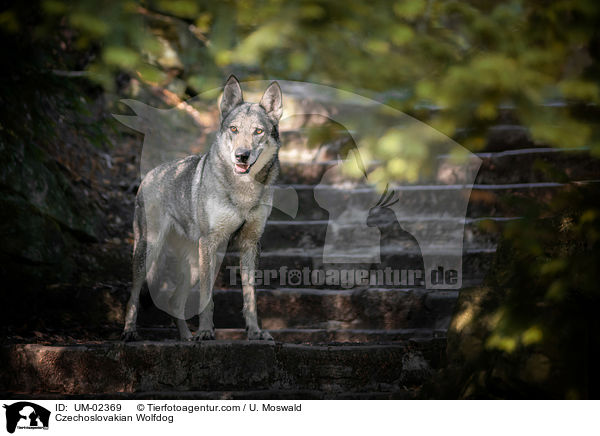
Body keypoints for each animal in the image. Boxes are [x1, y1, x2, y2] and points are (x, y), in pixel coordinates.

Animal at [122, 75, 284, 340]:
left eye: (258, 131)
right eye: (234, 129)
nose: (242, 155)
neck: (243, 190)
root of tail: (150, 175)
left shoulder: (250, 244)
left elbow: (250, 297)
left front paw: (255, 332)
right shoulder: (210, 243)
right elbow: (207, 298)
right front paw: (206, 332)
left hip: (194, 264)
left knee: (174, 300)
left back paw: (186, 337)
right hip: (151, 251)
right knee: (133, 294)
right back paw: (130, 332)